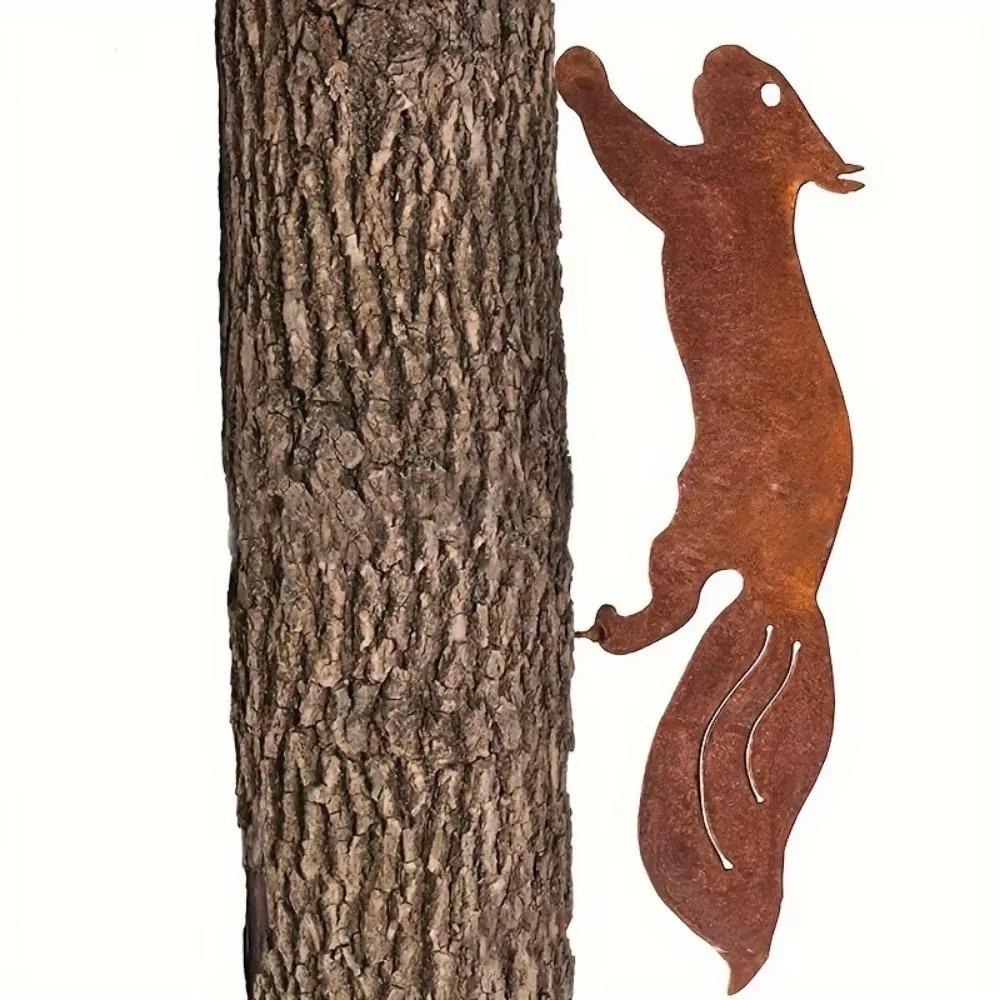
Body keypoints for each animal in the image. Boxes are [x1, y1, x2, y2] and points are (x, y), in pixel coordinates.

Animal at [557, 44, 861, 994]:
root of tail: (790, 591)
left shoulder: (696, 191)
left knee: (674, 604)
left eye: (767, 90)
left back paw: (606, 627)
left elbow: (636, 159)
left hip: (689, 524)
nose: (720, 51)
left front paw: (579, 73)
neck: (764, 187)